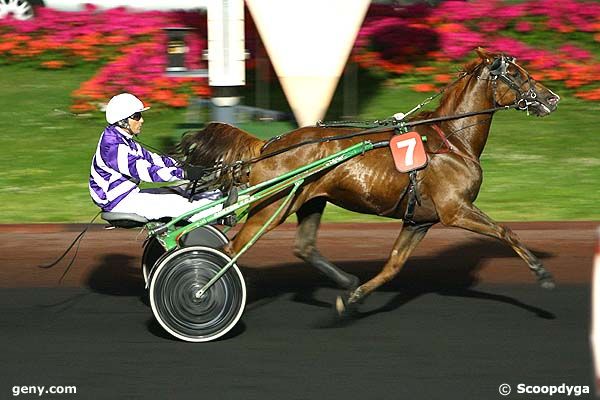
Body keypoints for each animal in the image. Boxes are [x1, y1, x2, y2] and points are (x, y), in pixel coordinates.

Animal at [180, 47, 560, 316]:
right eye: (516, 74)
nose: (551, 98)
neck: (452, 138)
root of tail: (267, 145)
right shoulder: (456, 210)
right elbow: (506, 231)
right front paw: (542, 273)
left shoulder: (419, 221)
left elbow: (393, 266)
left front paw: (354, 296)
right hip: (271, 207)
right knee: (229, 251)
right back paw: (203, 290)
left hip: (310, 200)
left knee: (303, 247)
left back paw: (345, 281)